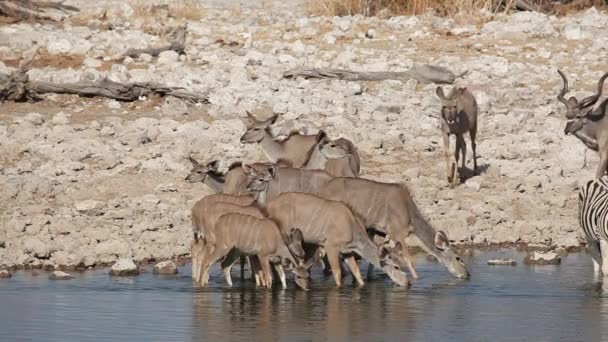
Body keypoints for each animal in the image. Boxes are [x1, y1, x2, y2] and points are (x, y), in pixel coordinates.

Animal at [262, 192, 408, 286]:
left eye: (402, 265)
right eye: (395, 267)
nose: (407, 283)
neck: (352, 227)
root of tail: (269, 206)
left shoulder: (347, 252)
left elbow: (357, 273)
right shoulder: (331, 246)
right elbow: (337, 274)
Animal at [318, 178, 470, 280]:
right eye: (458, 258)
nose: (467, 275)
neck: (409, 214)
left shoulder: (379, 230)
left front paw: (370, 277)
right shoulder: (396, 232)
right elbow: (408, 259)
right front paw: (416, 279)